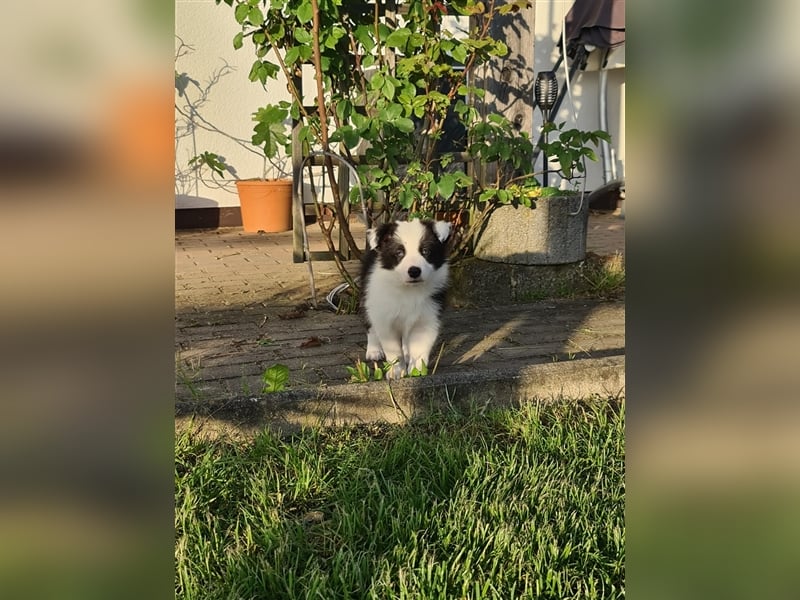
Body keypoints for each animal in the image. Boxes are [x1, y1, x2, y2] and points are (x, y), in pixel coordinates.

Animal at [360, 220, 450, 380]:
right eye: (399, 253)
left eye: (425, 251)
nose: (414, 271)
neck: (409, 290)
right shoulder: (385, 318)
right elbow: (393, 350)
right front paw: (396, 372)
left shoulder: (427, 317)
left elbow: (420, 349)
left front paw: (417, 371)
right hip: (367, 296)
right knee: (370, 324)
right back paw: (374, 350)